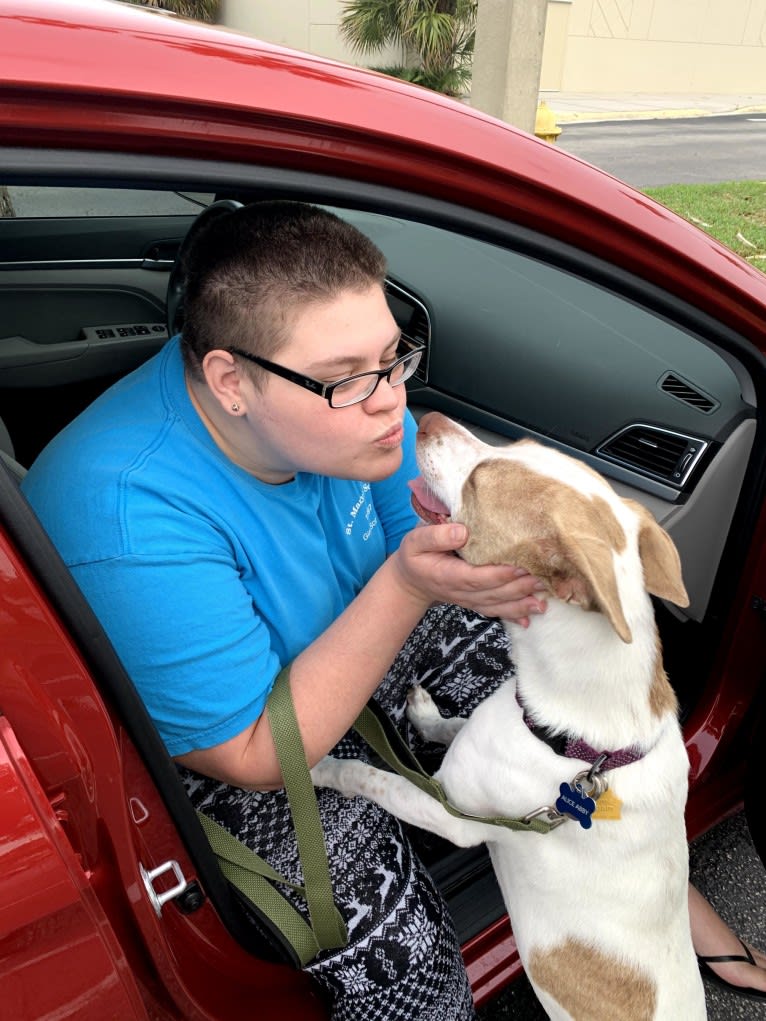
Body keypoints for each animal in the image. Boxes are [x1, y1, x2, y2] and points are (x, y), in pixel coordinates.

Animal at [312, 410, 706, 1016]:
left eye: (480, 481)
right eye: (516, 443)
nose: (425, 417)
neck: (580, 750)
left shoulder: (454, 815)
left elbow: (370, 776)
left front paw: (320, 768)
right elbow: (449, 724)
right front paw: (424, 711)